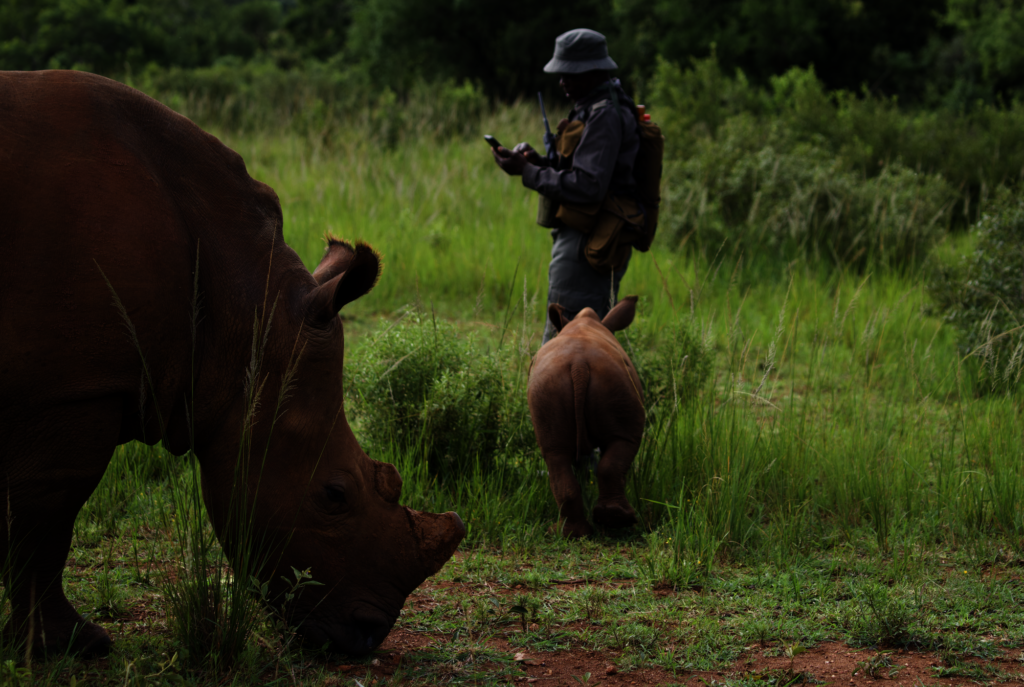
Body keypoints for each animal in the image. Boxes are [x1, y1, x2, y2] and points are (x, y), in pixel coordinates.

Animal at [0, 70, 464, 657]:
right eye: (334, 496)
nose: (368, 634)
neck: (243, 313)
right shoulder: (76, 388)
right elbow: (49, 514)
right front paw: (74, 645)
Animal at [528, 297, 645, 538]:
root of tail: (579, 364)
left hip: (547, 385)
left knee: (554, 454)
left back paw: (571, 533)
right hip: (614, 381)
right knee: (627, 440)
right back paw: (619, 520)